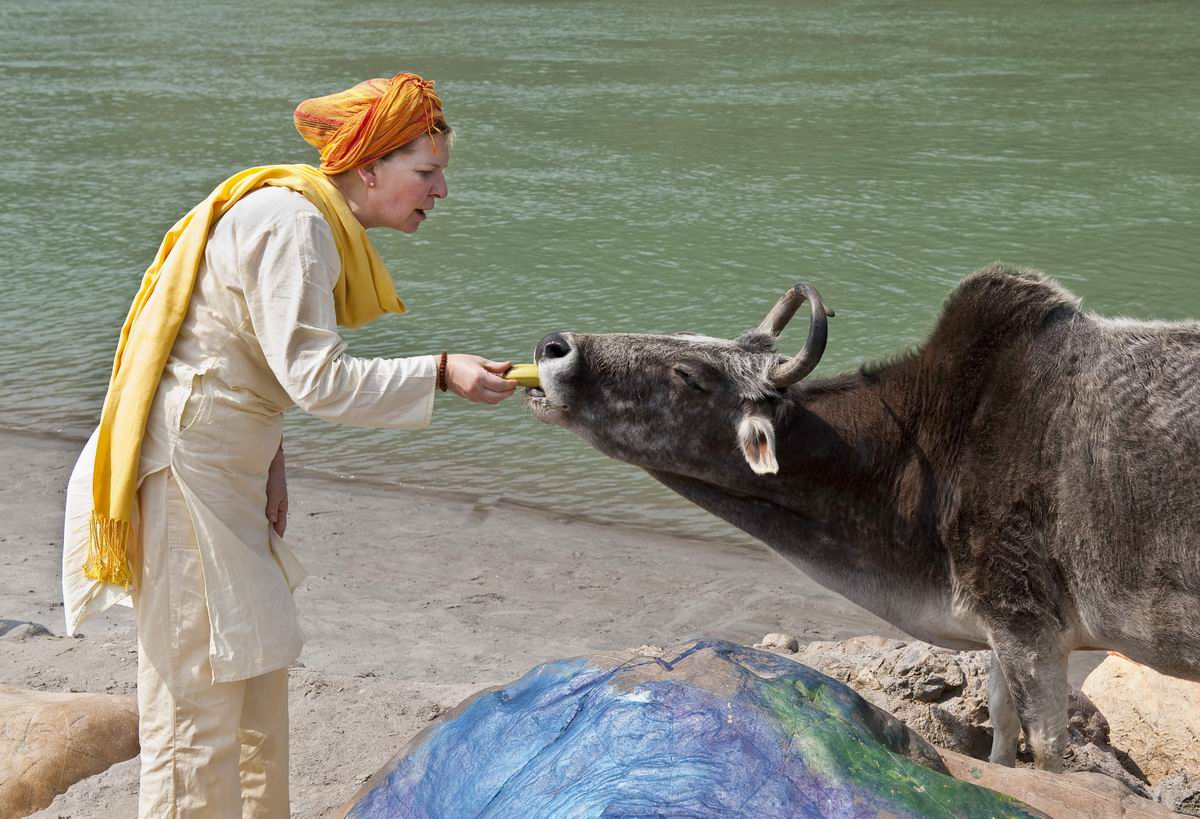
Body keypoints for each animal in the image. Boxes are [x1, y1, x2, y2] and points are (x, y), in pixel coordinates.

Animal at [525, 264, 1200, 768]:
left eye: (689, 375)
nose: (554, 348)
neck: (930, 446)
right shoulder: (1002, 631)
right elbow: (1004, 733)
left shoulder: (1028, 624)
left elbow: (1049, 751)